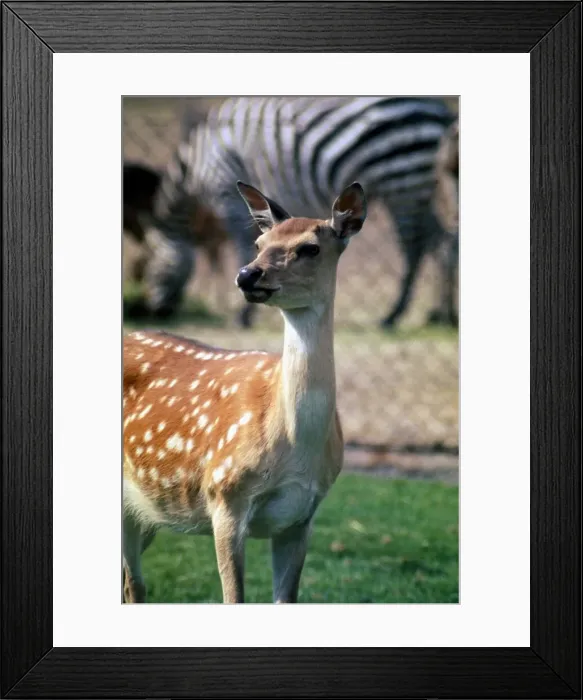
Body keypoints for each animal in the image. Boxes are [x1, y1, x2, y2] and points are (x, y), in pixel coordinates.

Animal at [123, 181, 367, 603]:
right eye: (259, 242)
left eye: (310, 248)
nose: (247, 275)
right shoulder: (225, 496)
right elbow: (233, 598)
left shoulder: (301, 516)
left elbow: (285, 599)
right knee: (133, 583)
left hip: (144, 511)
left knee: (130, 583)